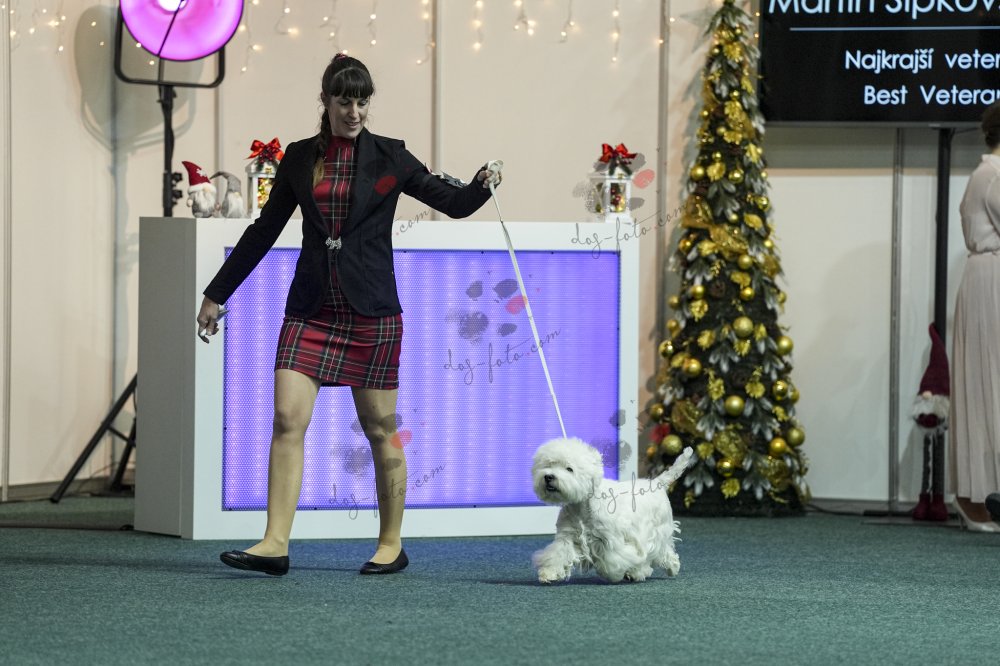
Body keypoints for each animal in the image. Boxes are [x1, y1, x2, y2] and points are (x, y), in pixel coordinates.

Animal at [531, 437, 694, 584]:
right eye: (547, 464)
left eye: (569, 469)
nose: (548, 477)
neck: (581, 507)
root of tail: (657, 483)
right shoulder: (567, 537)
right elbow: (557, 554)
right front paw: (548, 573)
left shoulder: (611, 539)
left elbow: (615, 561)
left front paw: (616, 574)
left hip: (658, 530)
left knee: (661, 551)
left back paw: (663, 569)